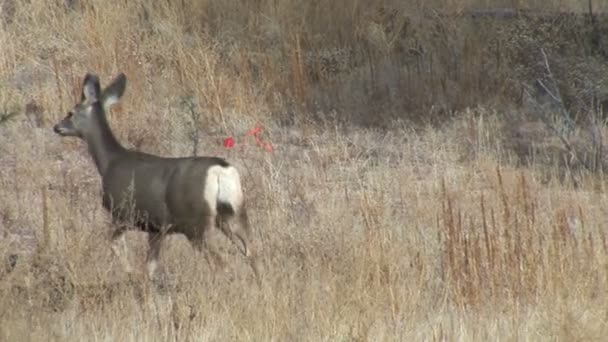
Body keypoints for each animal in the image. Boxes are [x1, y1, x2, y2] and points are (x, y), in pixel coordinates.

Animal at [52, 71, 262, 284]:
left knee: (221, 263)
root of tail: (221, 170)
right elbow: (150, 268)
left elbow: (115, 246)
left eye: (70, 112)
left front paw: (129, 272)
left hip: (197, 224)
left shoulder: (122, 213)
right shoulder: (157, 228)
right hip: (233, 214)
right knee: (252, 253)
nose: (57, 126)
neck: (109, 162)